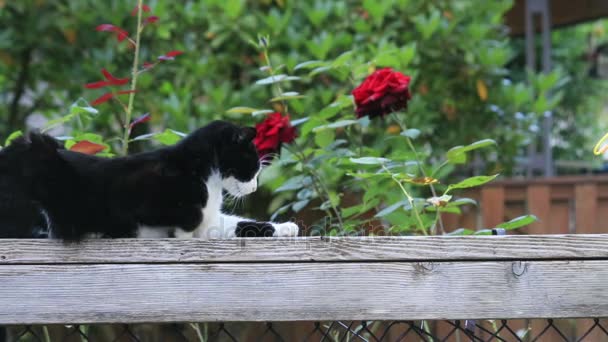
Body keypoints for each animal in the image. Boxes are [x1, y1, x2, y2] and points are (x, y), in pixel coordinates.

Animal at [0, 121, 300, 239]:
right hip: (40, 156)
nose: (255, 187)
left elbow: (239, 224)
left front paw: (287, 227)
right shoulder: (137, 190)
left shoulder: (210, 222)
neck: (207, 178)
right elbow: (185, 217)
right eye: (252, 166)